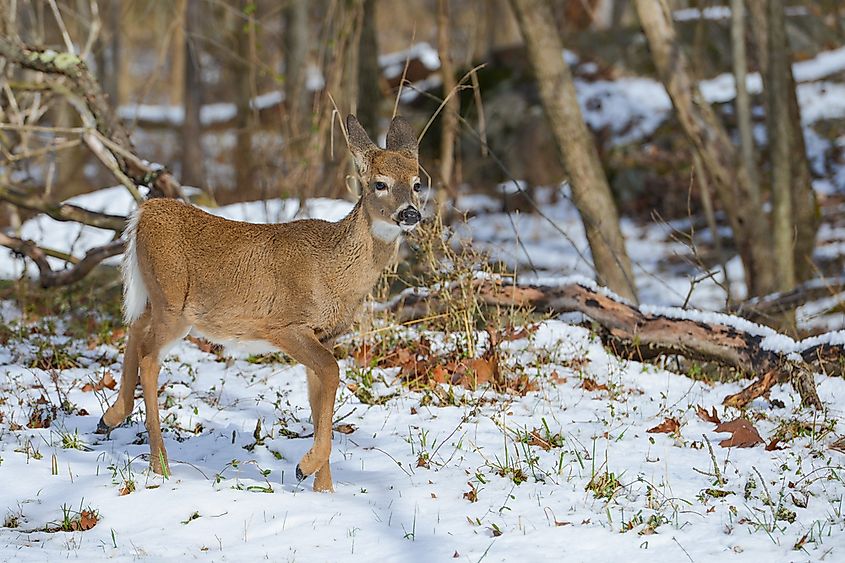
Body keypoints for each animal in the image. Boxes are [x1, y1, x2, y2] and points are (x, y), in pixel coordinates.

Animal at [95, 115, 423, 492]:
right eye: (379, 184)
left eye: (417, 183)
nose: (410, 213)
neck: (333, 270)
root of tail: (144, 212)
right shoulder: (284, 325)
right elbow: (332, 371)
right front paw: (305, 467)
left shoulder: (325, 335)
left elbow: (319, 396)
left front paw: (323, 489)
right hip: (175, 304)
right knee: (149, 355)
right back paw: (160, 464)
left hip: (157, 297)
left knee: (134, 328)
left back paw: (109, 419)